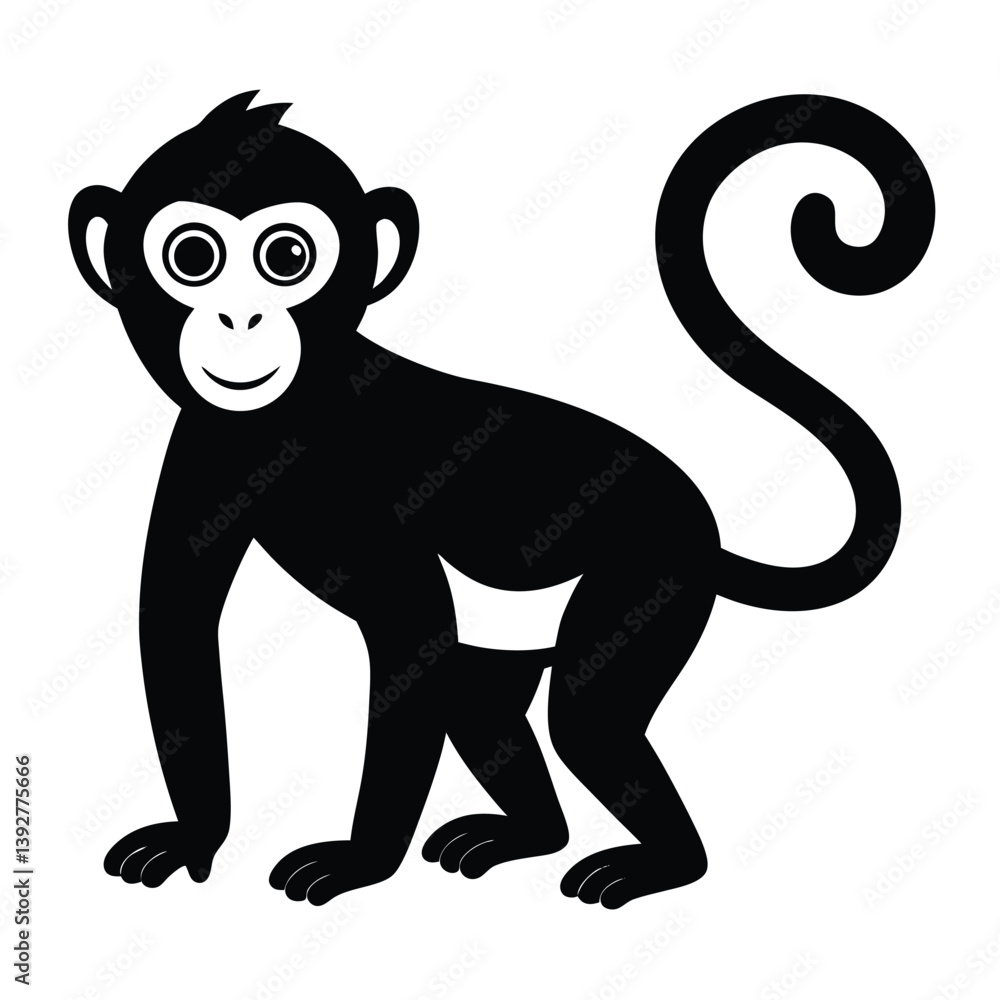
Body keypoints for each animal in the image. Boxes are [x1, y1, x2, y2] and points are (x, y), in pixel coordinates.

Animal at [69, 92, 933, 909]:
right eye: (193, 256)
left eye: (287, 256)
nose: (239, 317)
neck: (289, 418)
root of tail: (702, 528)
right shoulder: (203, 448)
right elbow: (177, 624)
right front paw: (195, 838)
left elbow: (411, 636)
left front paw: (361, 862)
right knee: (480, 702)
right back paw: (534, 835)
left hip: (649, 574)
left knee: (584, 721)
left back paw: (667, 863)